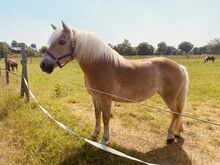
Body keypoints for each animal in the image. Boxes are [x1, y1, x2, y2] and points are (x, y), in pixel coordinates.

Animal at [40, 21, 188, 146]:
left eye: (62, 41)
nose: (43, 65)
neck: (99, 65)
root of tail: (179, 66)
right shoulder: (95, 97)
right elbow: (97, 115)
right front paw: (94, 134)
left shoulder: (106, 98)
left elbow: (106, 118)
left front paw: (104, 140)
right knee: (178, 113)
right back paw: (177, 133)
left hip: (169, 97)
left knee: (175, 113)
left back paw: (170, 136)